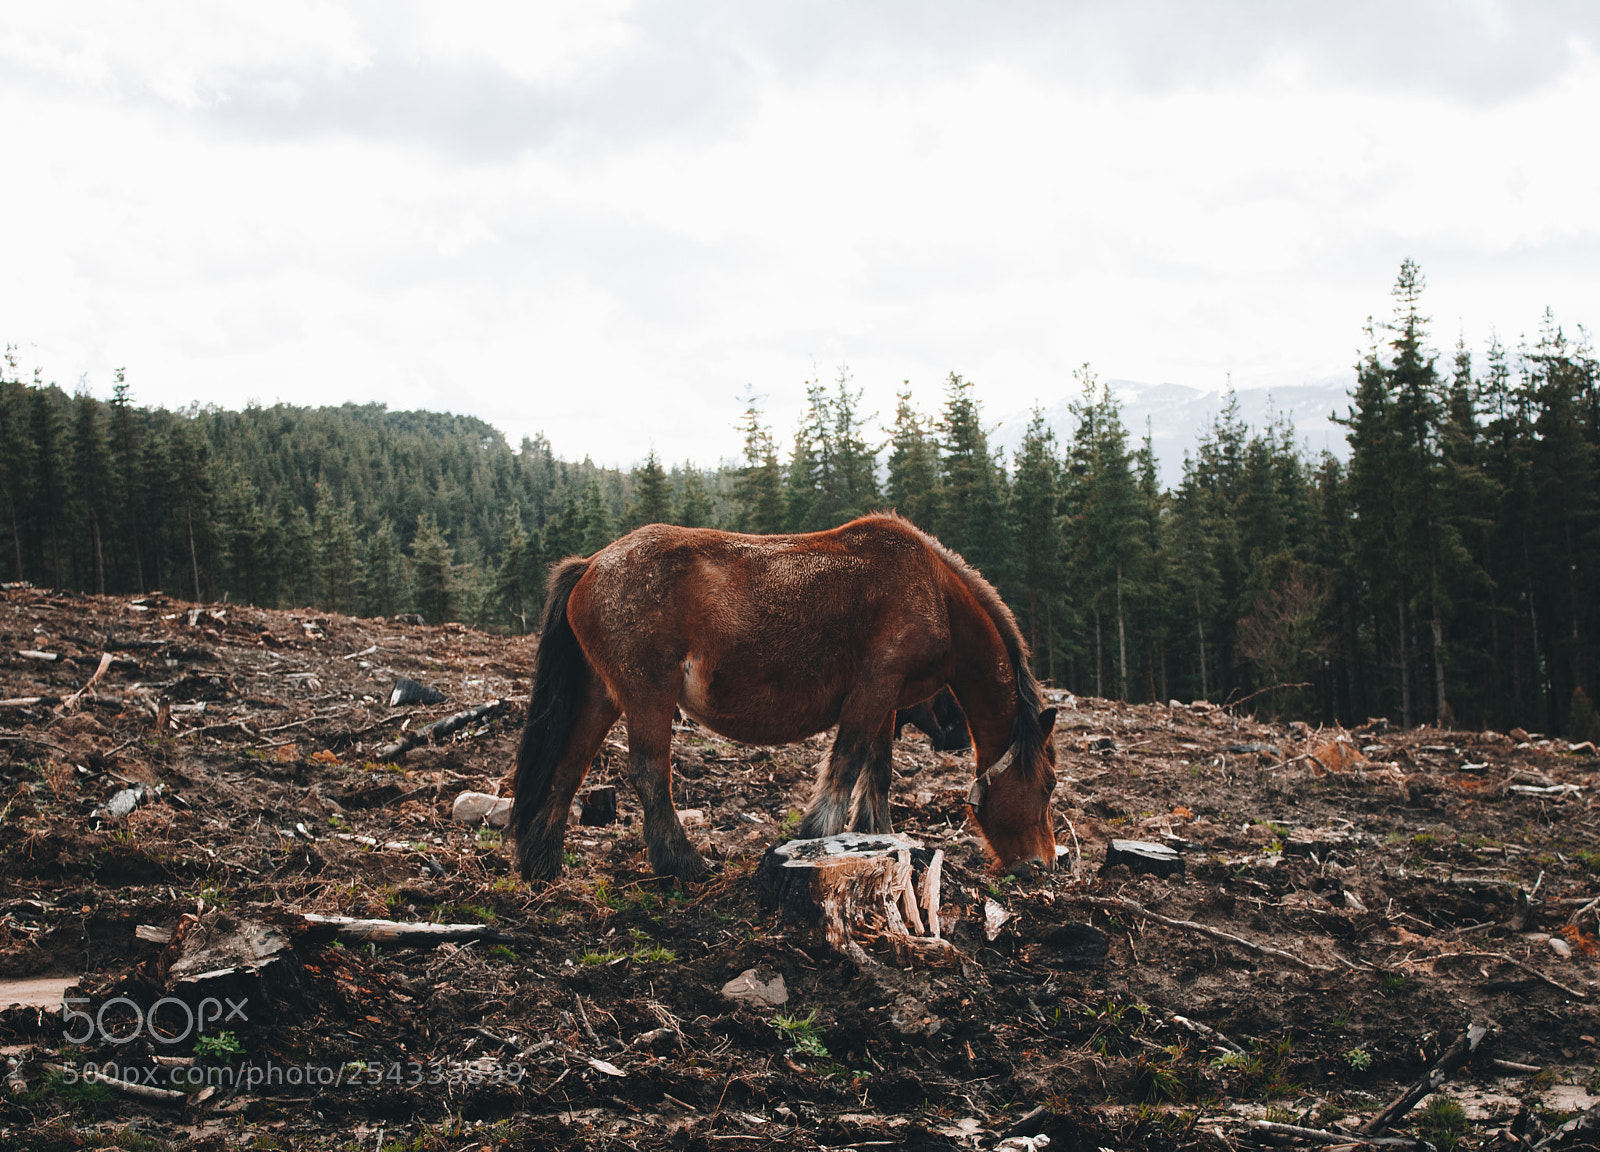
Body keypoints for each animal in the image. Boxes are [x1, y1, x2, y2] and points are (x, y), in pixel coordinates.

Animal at [511, 513, 1059, 884]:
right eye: (1050, 785)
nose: (1043, 863)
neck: (935, 592)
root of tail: (590, 564)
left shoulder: (888, 700)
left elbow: (877, 774)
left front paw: (878, 835)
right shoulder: (875, 688)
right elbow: (847, 765)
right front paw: (816, 835)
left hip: (602, 696)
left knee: (568, 768)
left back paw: (543, 862)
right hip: (648, 695)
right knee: (648, 773)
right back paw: (682, 862)